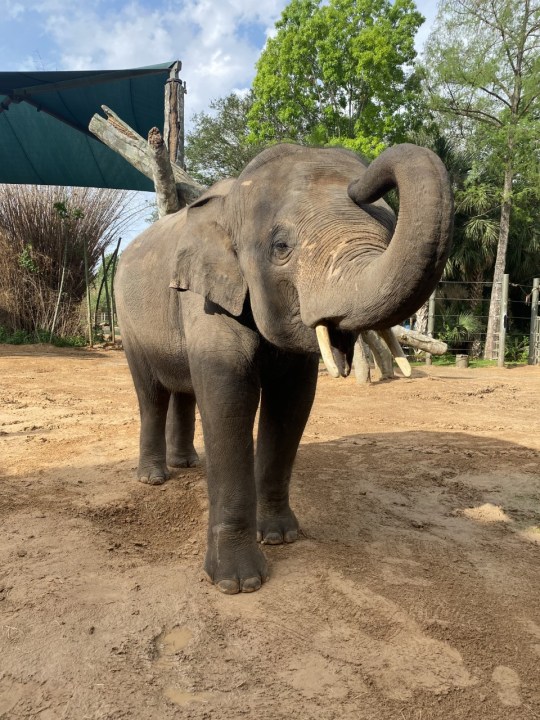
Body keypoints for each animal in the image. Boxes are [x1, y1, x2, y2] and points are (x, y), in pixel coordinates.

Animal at [116, 142, 454, 596]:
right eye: (281, 247)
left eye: (388, 231)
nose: (362, 180)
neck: (234, 197)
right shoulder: (205, 298)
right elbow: (229, 399)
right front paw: (238, 583)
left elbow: (292, 404)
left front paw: (280, 537)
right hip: (127, 322)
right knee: (151, 394)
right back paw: (154, 478)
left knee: (184, 391)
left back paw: (188, 465)